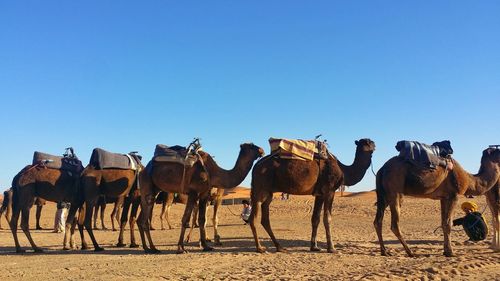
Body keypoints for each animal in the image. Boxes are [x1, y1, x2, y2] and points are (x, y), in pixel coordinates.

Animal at [135, 141, 264, 253]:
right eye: (252, 146)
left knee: (141, 219)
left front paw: (206, 246)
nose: (261, 150)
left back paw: (148, 248)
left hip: (154, 190)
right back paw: (152, 248)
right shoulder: (193, 192)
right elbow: (186, 219)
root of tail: (143, 169)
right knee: (145, 218)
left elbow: (202, 219)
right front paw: (181, 248)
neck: (213, 172)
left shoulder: (204, 195)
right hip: (148, 185)